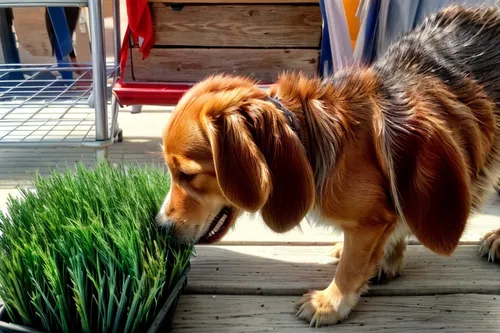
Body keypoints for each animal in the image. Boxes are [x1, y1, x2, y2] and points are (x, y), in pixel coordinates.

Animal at [158, 5, 500, 326]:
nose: (160, 227)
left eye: (187, 175)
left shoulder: (370, 222)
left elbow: (352, 266)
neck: (307, 138)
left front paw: (331, 302)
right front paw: (387, 257)